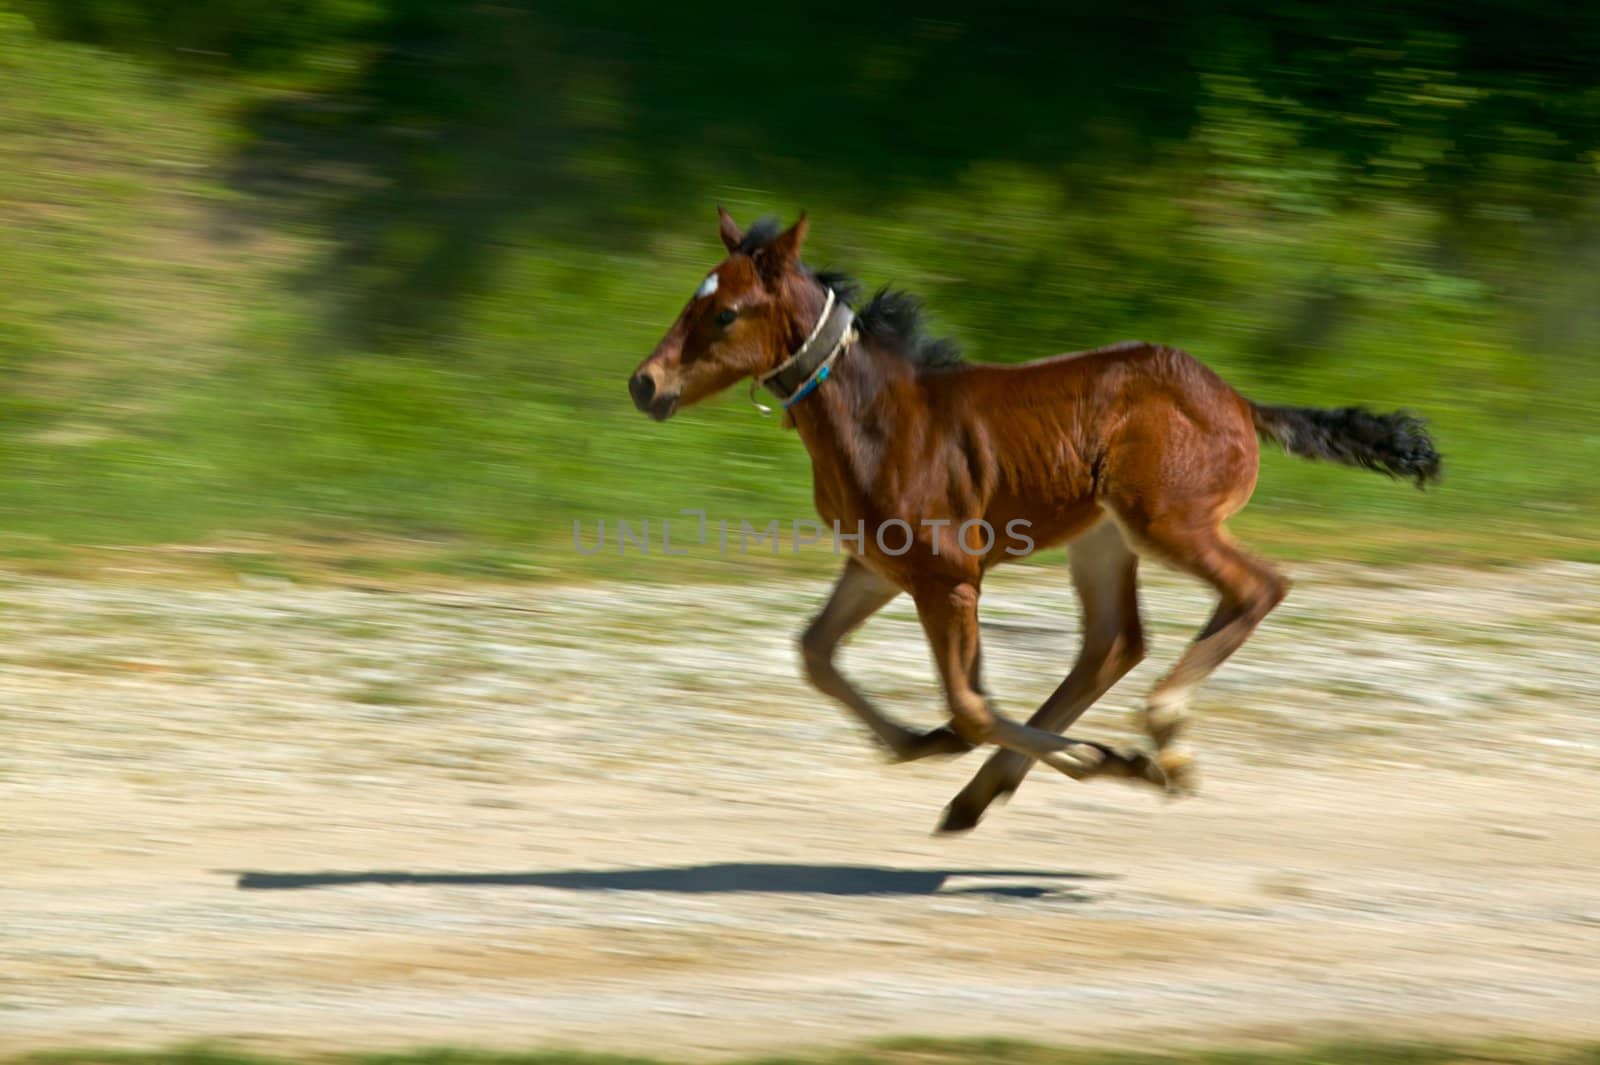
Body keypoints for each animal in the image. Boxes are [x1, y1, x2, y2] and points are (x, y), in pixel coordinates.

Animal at [624, 209, 1440, 831]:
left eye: (725, 313)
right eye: (691, 303)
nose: (645, 384)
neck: (876, 416)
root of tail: (1240, 402)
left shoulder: (949, 577)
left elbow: (971, 704)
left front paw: (1101, 758)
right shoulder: (879, 565)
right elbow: (817, 654)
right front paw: (923, 743)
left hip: (1165, 519)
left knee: (1254, 588)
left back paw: (1163, 740)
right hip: (1103, 538)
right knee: (1114, 641)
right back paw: (990, 791)